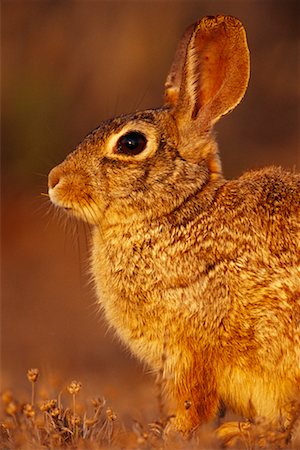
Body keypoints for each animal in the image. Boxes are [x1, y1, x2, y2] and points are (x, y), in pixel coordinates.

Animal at [48, 15, 300, 438]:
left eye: (131, 143)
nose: (55, 181)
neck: (177, 211)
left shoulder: (190, 353)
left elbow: (194, 404)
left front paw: (171, 433)